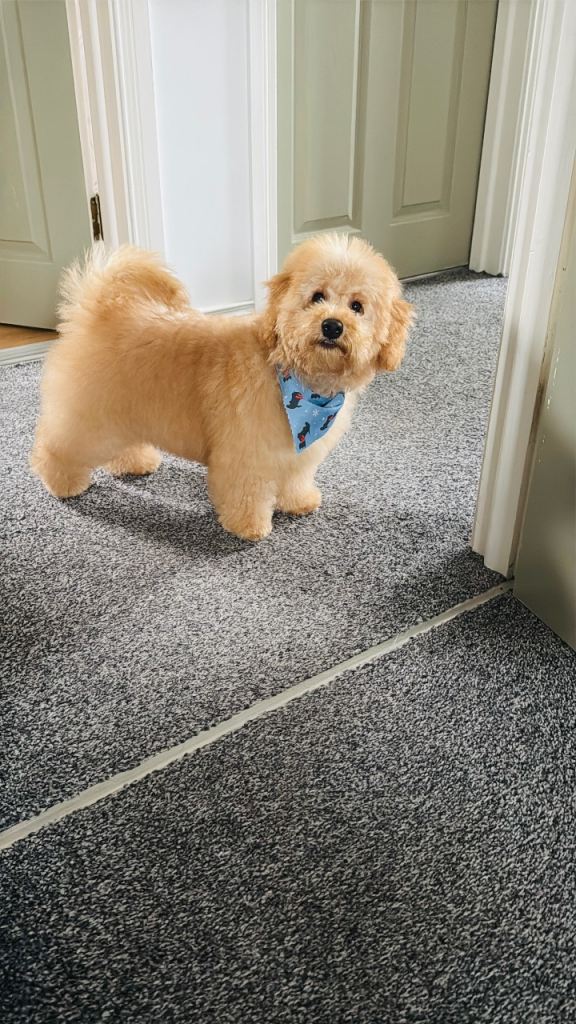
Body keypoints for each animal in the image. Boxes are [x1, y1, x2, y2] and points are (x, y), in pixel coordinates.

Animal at [30, 233, 412, 540]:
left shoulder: (296, 454)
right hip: (88, 417)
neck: (294, 377)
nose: (332, 326)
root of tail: (100, 310)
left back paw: (135, 462)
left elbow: (296, 479)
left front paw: (299, 502)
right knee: (56, 446)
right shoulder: (245, 453)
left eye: (357, 306)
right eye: (317, 297)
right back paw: (62, 482)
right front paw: (249, 527)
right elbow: (246, 491)